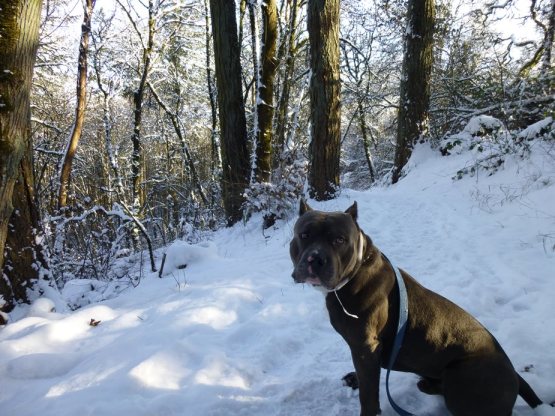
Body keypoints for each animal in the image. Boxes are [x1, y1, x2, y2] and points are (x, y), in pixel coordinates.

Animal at [290, 200, 543, 416]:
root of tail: (515, 376)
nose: (315, 259)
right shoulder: (363, 351)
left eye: (340, 240)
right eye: (304, 235)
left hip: (462, 377)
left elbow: (369, 394)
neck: (356, 271)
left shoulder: (365, 346)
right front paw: (355, 378)